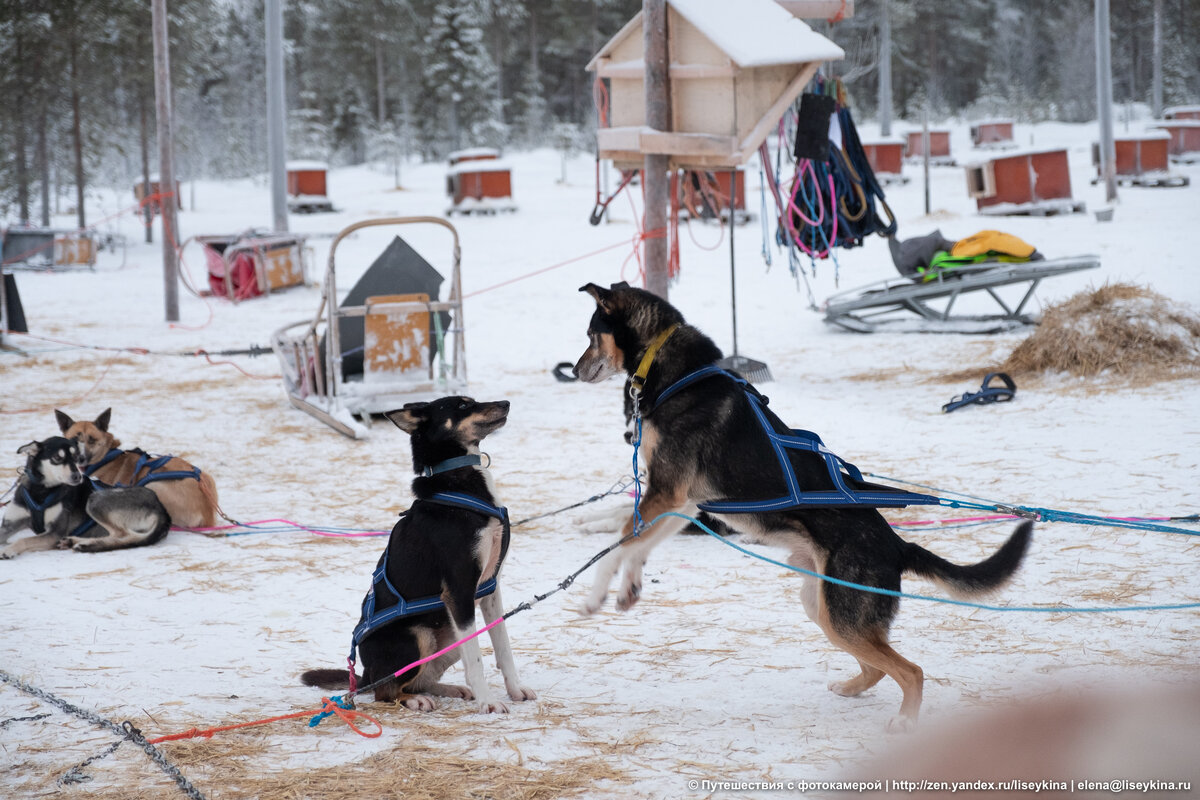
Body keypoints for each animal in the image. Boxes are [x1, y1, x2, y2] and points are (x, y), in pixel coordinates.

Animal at [0, 434, 174, 561]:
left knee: (123, 535)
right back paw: (74, 541)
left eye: (76, 458)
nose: (77, 477)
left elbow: (24, 540)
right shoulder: (9, 525)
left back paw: (86, 545)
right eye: (57, 458)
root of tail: (161, 509)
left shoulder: (54, 533)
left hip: (95, 500)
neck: (41, 491)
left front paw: (9, 549)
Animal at [55, 410, 219, 527]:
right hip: (208, 477)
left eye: (92, 440)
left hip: (153, 486)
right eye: (74, 439)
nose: (80, 458)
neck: (106, 456)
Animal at [302, 398, 537, 714]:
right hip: (419, 636)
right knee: (386, 690)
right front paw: (488, 702)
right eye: (462, 405)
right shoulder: (459, 591)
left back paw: (448, 689)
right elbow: (475, 659)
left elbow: (502, 646)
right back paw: (413, 700)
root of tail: (366, 675)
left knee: (420, 679)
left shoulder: (489, 587)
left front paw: (514, 689)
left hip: (448, 636)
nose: (506, 402)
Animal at [571, 281, 1032, 734]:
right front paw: (628, 589)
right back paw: (850, 688)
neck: (674, 370)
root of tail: (897, 545)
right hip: (822, 607)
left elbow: (617, 546)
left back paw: (904, 720)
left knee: (911, 671)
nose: (574, 371)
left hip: (841, 616)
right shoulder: (681, 503)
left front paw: (595, 597)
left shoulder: (665, 494)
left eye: (591, 334)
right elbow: (635, 547)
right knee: (878, 667)